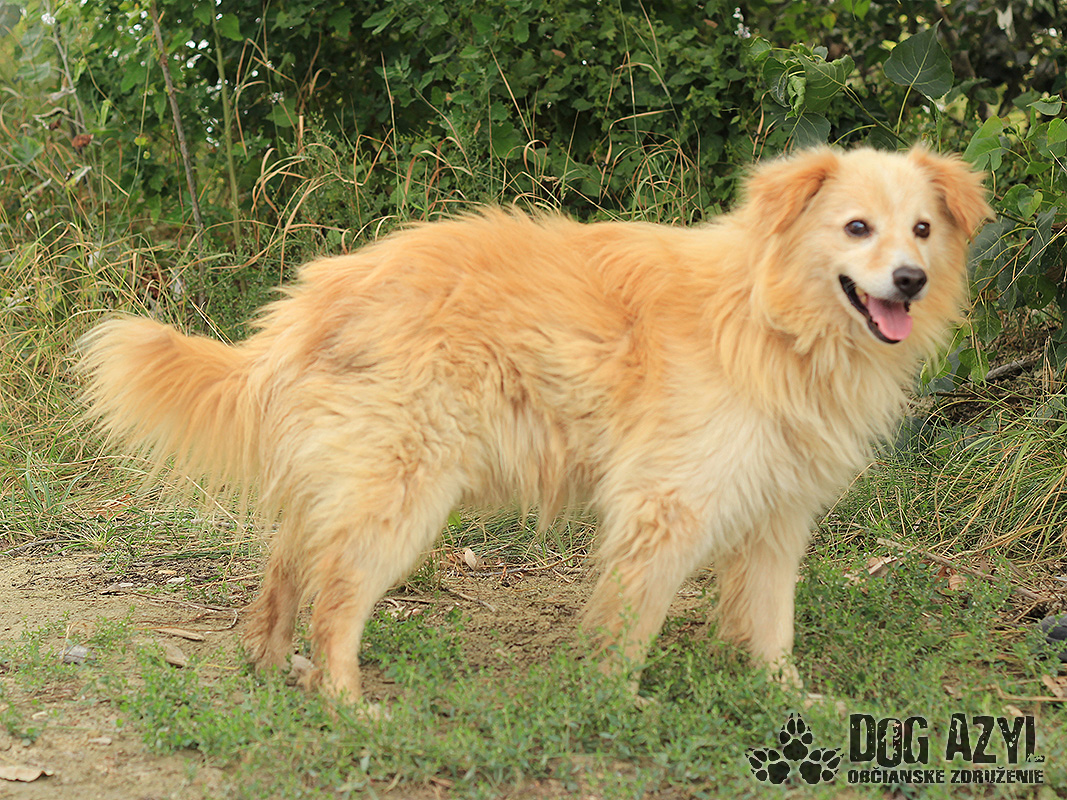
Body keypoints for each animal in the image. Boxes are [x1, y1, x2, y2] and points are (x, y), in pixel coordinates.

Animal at [78, 145, 990, 700]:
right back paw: (343, 701)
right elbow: (631, 621)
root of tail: (313, 299)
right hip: (401, 493)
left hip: (346, 476)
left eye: (920, 228)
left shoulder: (775, 512)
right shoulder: (667, 505)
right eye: (855, 227)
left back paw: (269, 668)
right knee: (335, 594)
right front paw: (614, 704)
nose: (909, 280)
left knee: (286, 567)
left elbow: (770, 625)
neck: (769, 316)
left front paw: (789, 703)